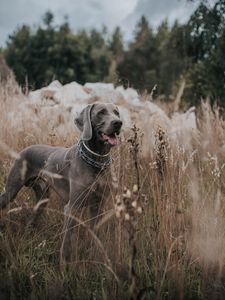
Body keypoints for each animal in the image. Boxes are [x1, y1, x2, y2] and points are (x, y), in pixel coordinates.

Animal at [0, 102, 123, 262]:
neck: (97, 162)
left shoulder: (98, 206)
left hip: (43, 198)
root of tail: (24, 149)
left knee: (32, 218)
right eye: (101, 112)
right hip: (11, 192)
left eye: (116, 113)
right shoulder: (72, 207)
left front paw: (95, 256)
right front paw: (64, 265)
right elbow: (67, 243)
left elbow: (95, 235)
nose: (118, 123)